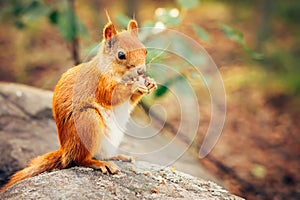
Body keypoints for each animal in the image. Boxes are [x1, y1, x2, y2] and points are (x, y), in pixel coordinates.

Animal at [1, 15, 157, 191]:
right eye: (121, 55)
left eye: (145, 50)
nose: (141, 70)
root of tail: (65, 153)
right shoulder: (98, 83)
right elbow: (113, 96)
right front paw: (135, 86)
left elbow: (131, 101)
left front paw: (149, 83)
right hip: (88, 123)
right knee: (79, 160)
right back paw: (100, 163)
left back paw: (118, 156)